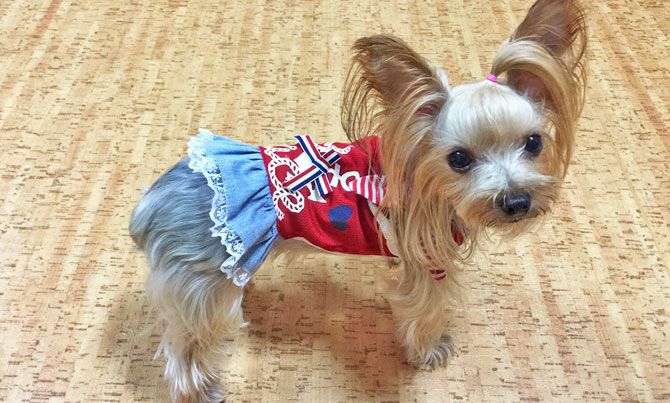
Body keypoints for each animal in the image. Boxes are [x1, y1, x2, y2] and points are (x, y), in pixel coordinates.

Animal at [129, 0, 586, 401]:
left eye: (534, 143)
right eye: (458, 159)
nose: (517, 202)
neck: (427, 184)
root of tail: (150, 204)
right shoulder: (427, 264)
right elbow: (423, 309)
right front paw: (428, 352)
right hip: (203, 288)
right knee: (184, 348)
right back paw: (202, 389)